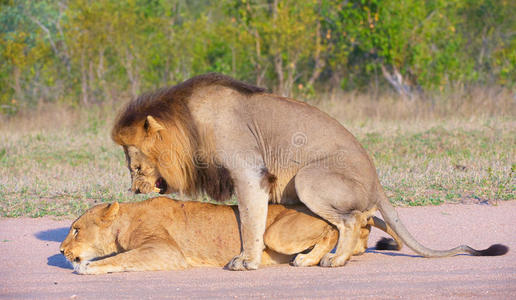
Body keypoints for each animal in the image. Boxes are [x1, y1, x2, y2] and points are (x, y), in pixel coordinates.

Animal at [112, 73, 508, 270]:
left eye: (135, 164)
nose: (134, 191)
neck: (189, 121)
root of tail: (378, 182)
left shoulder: (249, 172)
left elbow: (250, 222)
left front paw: (247, 261)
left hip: (308, 180)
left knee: (351, 220)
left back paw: (336, 259)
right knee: (352, 221)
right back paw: (315, 257)